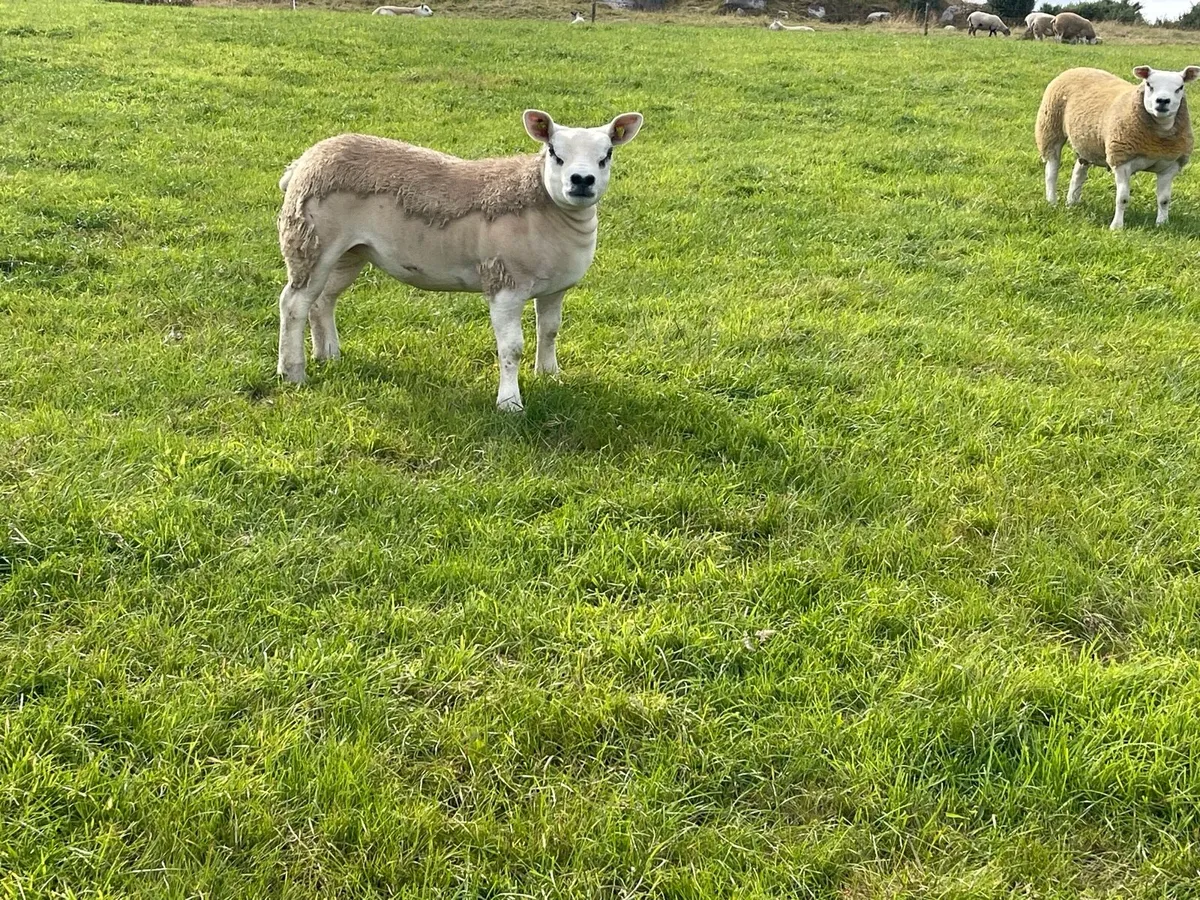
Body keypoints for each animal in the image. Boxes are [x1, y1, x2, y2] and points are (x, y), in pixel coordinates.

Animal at [275, 110, 643, 410]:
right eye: (554, 153)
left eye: (606, 155)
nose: (582, 181)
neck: (545, 206)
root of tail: (303, 161)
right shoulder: (504, 284)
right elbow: (512, 348)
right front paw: (510, 403)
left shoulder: (555, 287)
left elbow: (550, 331)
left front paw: (549, 376)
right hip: (310, 241)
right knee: (293, 303)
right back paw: (292, 371)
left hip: (349, 252)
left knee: (322, 300)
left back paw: (328, 354)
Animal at [1037, 66, 1199, 229]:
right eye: (1149, 84)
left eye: (1180, 87)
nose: (1162, 101)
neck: (1156, 142)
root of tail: (1079, 68)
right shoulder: (1122, 161)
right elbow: (1122, 199)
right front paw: (1116, 227)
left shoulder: (1170, 166)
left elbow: (1164, 200)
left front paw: (1162, 224)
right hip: (1050, 127)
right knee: (1051, 171)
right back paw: (1052, 201)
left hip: (1086, 143)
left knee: (1078, 172)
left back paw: (1072, 202)